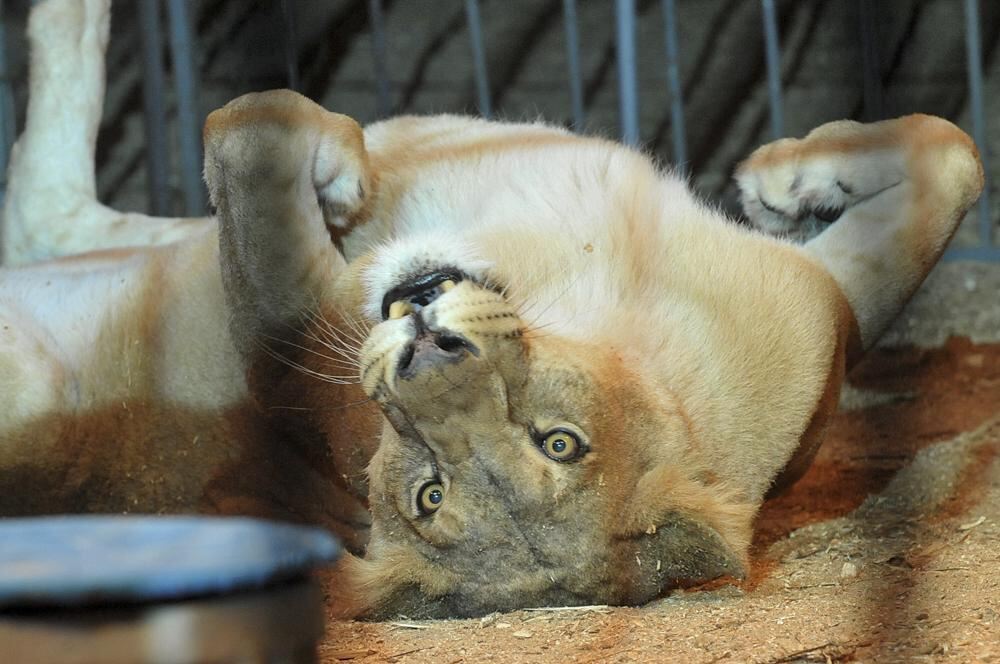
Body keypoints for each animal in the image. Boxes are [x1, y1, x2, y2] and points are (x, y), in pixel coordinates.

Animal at [0, 0, 984, 620]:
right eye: (561, 440)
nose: (422, 349)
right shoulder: (825, 313)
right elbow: (954, 159)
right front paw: (787, 184)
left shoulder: (282, 350)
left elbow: (246, 139)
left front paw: (332, 164)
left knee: (45, 193)